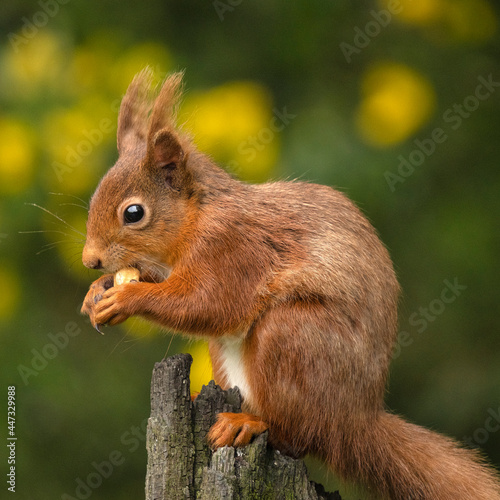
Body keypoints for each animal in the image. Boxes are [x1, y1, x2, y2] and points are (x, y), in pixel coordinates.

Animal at [81, 68, 500, 498]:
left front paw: (127, 297)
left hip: (294, 336)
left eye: (134, 213)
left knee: (297, 436)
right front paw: (97, 292)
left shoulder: (234, 248)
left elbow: (209, 304)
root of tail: (355, 421)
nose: (89, 260)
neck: (197, 215)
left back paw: (250, 423)